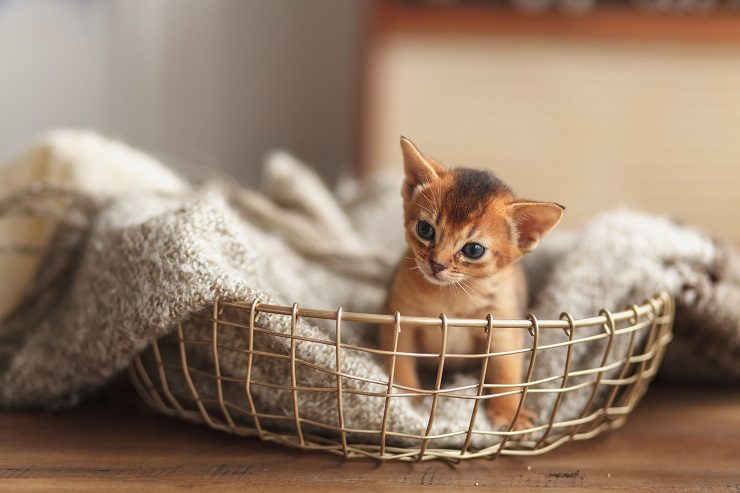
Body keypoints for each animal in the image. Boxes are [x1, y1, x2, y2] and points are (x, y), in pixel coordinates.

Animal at [384, 135, 564, 426]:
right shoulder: (400, 321)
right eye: (425, 229)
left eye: (473, 249)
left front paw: (508, 413)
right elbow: (400, 365)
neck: (452, 298)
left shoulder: (503, 329)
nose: (437, 264)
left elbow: (506, 373)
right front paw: (407, 403)